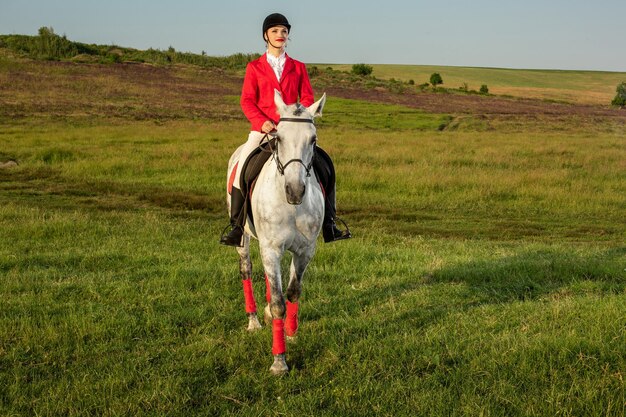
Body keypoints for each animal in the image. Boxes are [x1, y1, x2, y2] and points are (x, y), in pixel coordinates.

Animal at [228, 89, 326, 372]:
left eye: (313, 139)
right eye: (279, 138)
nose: (295, 190)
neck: (290, 205)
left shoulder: (304, 250)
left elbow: (292, 292)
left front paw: (291, 334)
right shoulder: (270, 248)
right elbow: (279, 303)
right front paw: (279, 362)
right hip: (244, 239)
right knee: (247, 270)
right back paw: (253, 321)